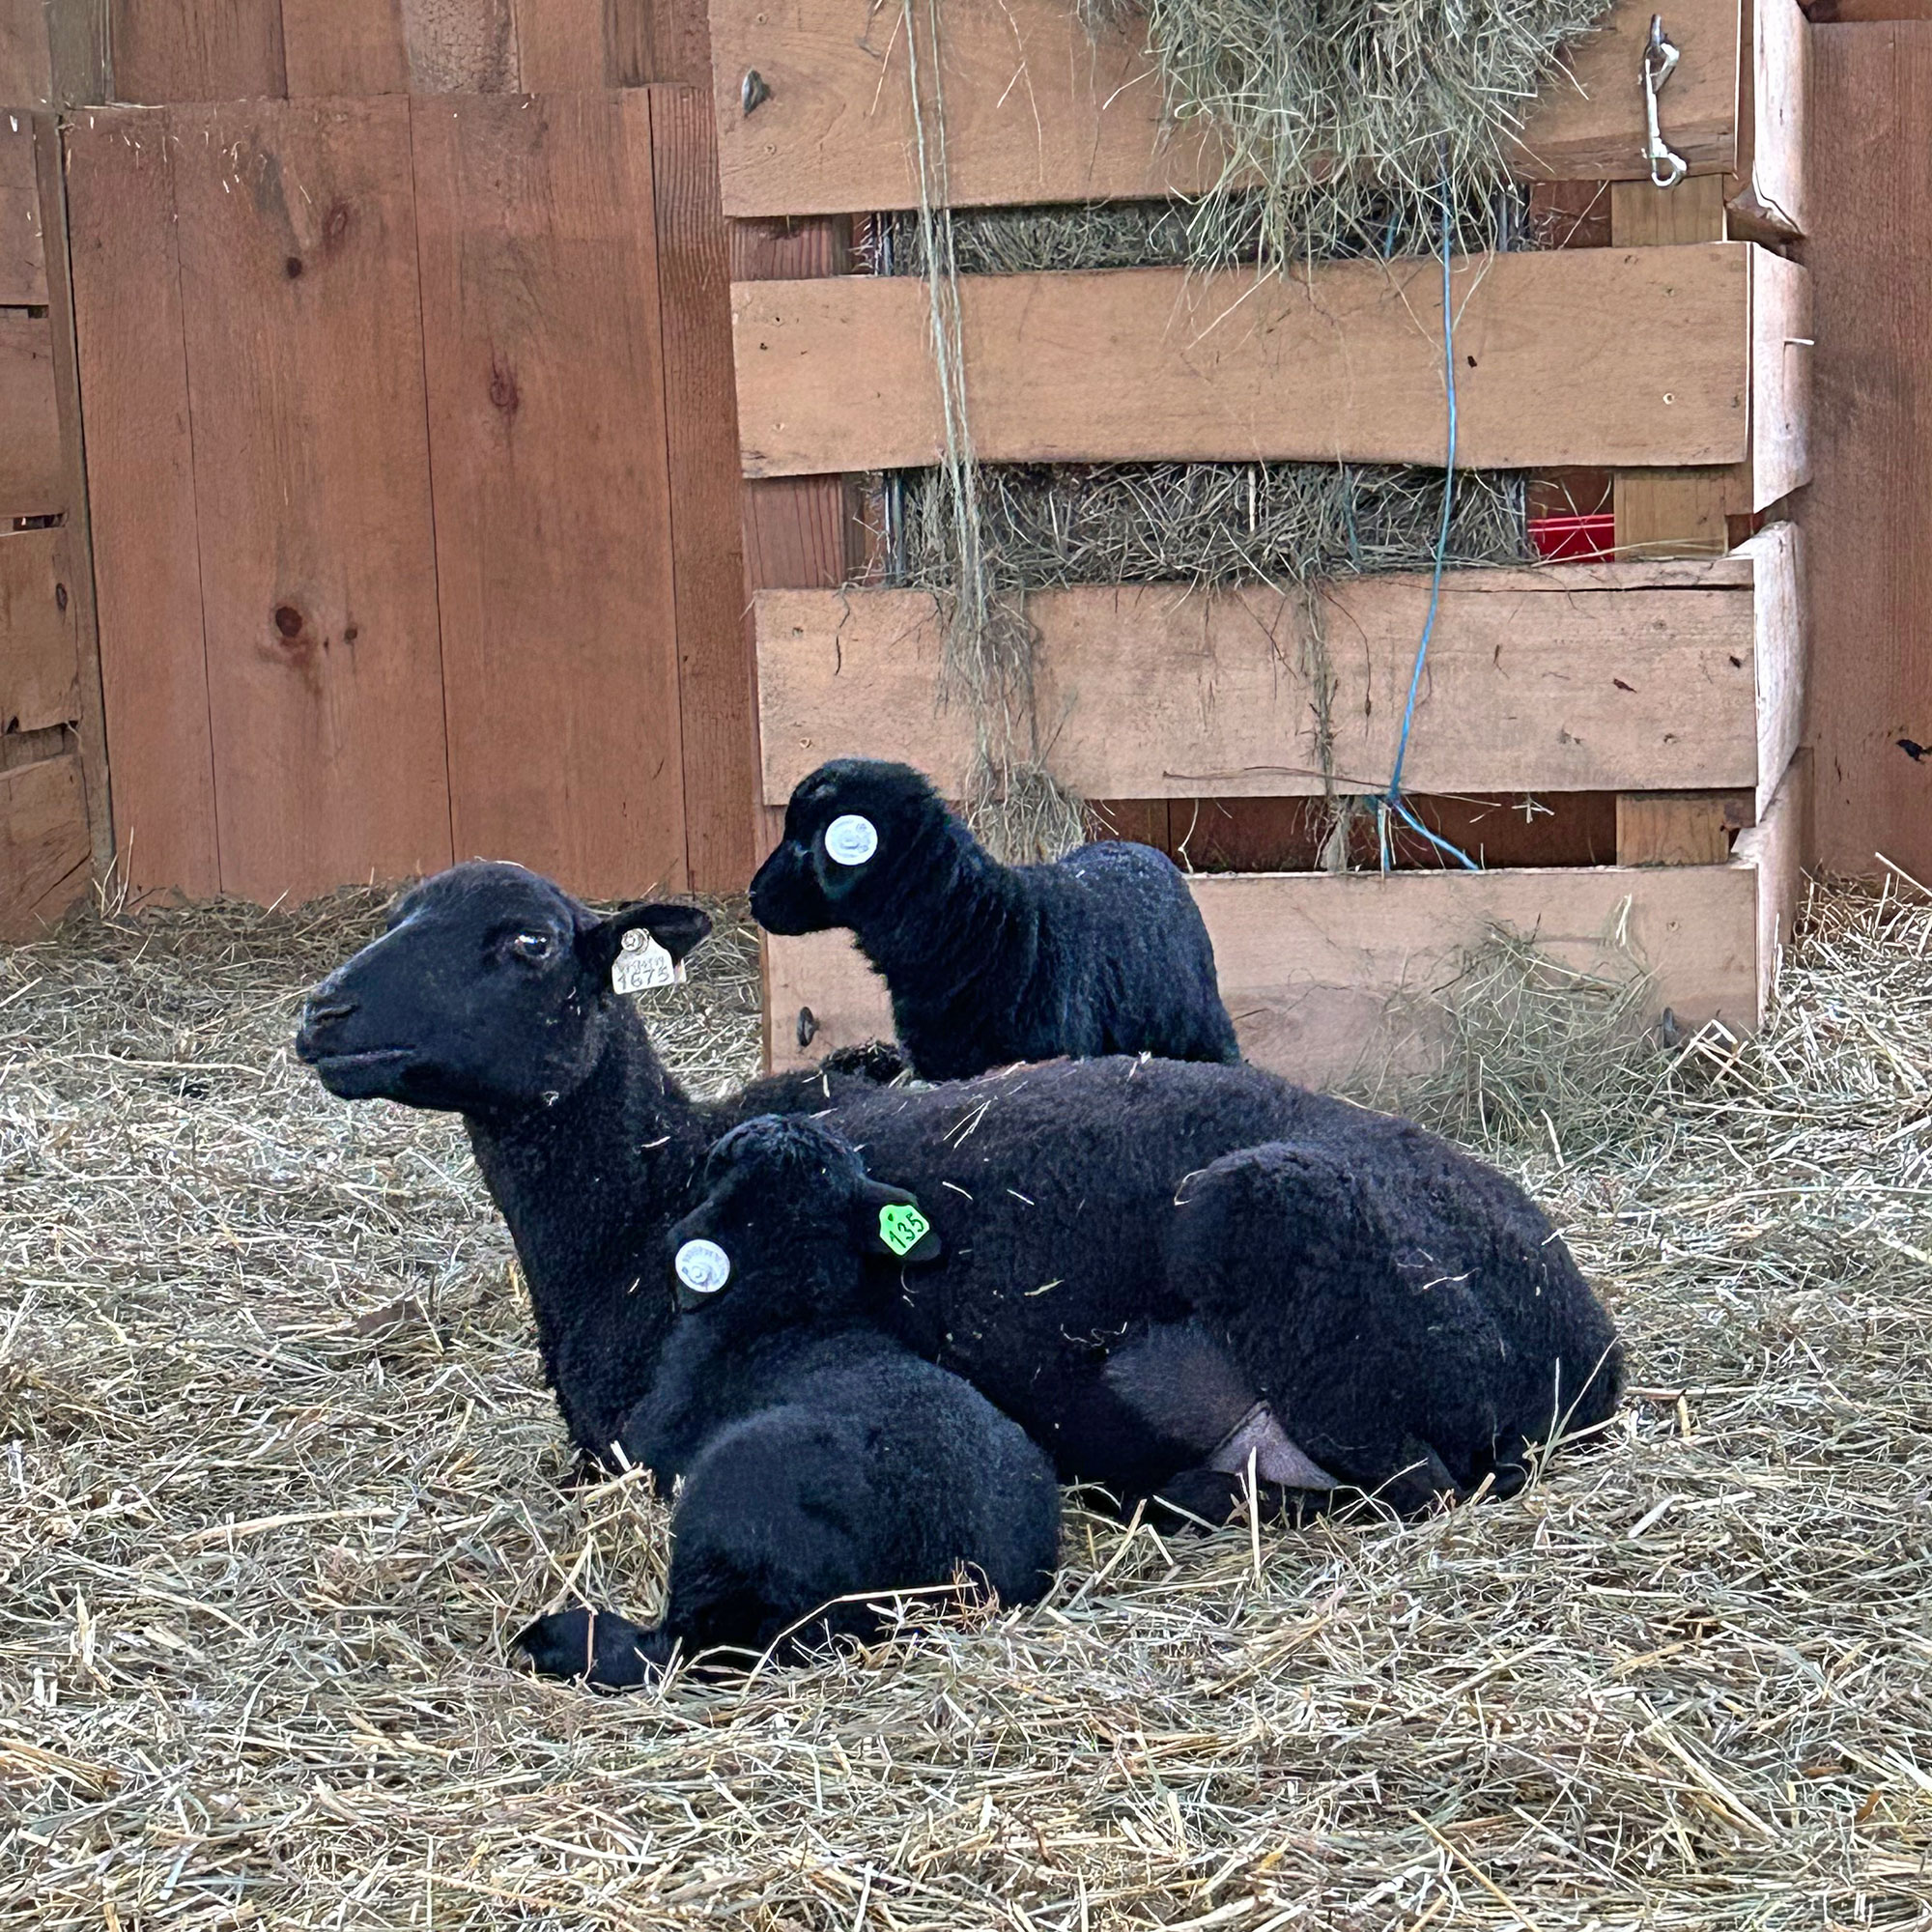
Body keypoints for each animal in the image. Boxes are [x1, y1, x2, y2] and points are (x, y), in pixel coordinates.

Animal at [296, 861, 1623, 1533]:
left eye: (525, 944)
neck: (636, 1202)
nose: (323, 1014)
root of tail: (1589, 1347)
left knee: (1417, 1482)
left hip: (1273, 1230)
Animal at [516, 1114, 1060, 1686]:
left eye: (720, 1161)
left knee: (683, 1647)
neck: (786, 1313)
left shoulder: (641, 1451)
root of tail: (935, 1584)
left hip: (730, 1510)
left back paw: (552, 1640)